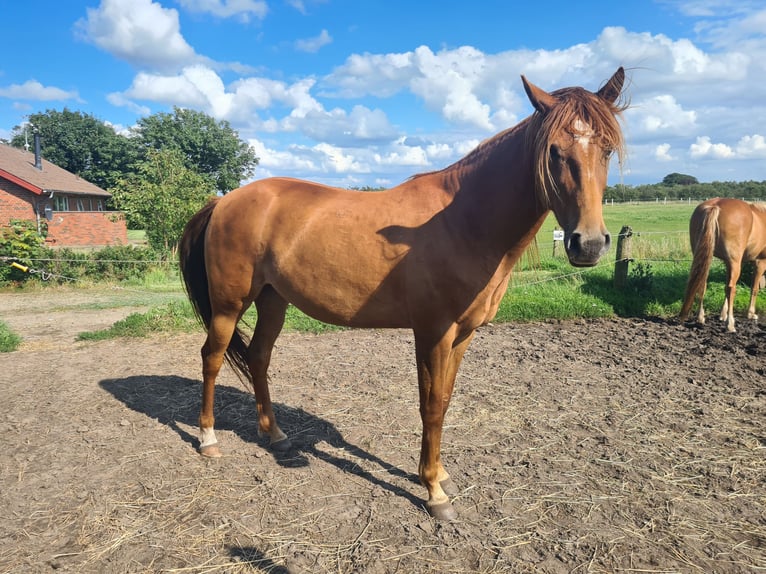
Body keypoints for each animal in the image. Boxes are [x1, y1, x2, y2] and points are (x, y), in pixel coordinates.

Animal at [180, 68, 632, 520]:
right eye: (553, 151)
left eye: (607, 149)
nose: (589, 244)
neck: (464, 221)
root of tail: (224, 200)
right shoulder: (432, 333)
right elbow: (430, 405)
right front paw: (434, 492)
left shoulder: (463, 334)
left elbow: (444, 401)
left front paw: (440, 475)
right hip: (229, 305)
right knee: (212, 358)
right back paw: (208, 439)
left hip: (274, 299)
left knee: (258, 357)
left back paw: (275, 434)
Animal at [680, 198, 766, 332]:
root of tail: (715, 205)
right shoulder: (760, 262)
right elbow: (754, 288)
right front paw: (751, 314)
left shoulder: (727, 263)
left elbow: (726, 287)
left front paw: (723, 314)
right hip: (735, 262)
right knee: (731, 288)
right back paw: (730, 324)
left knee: (702, 283)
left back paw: (700, 318)